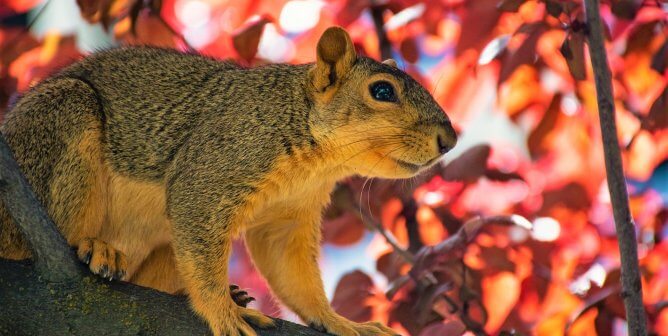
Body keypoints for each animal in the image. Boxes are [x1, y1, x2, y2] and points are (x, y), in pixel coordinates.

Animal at [0, 26, 454, 336]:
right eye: (382, 91)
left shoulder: (288, 215)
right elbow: (197, 217)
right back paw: (95, 248)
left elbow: (290, 271)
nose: (449, 140)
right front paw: (223, 313)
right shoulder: (215, 166)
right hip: (61, 120)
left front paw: (341, 322)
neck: (316, 164)